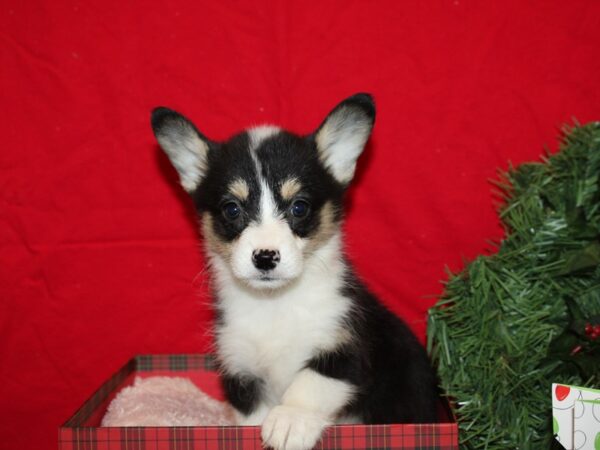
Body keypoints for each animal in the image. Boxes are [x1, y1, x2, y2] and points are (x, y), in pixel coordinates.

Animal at [152, 94, 438, 450]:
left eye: (299, 207)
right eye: (231, 209)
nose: (265, 257)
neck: (274, 303)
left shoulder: (347, 346)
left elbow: (311, 381)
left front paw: (290, 420)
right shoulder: (241, 368)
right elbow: (253, 418)